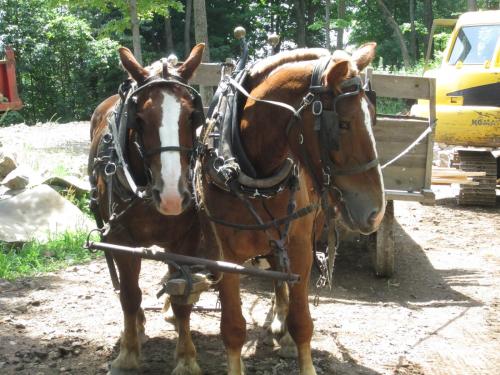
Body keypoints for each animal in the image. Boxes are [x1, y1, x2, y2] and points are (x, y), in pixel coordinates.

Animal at [89, 43, 206, 374]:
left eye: (192, 116)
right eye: (138, 118)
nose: (171, 197)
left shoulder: (186, 239)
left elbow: (181, 296)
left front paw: (186, 358)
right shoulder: (120, 239)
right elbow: (130, 295)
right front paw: (128, 355)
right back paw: (137, 325)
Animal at [189, 42, 384, 374]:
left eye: (373, 117)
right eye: (343, 124)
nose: (376, 212)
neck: (252, 171)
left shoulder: (300, 247)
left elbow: (302, 321)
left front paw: (298, 348)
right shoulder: (223, 256)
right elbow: (233, 328)